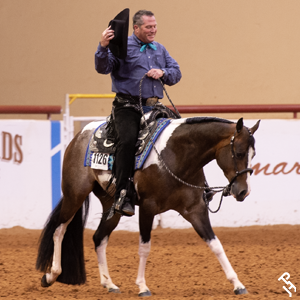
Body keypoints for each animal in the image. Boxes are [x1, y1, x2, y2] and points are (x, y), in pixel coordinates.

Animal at [35, 116, 260, 296]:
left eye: (254, 154)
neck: (176, 155)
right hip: (75, 195)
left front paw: (238, 284)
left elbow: (216, 245)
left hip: (111, 207)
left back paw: (109, 284)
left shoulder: (196, 210)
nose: (243, 191)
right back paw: (51, 275)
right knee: (59, 230)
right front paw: (143, 287)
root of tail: (79, 136)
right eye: (239, 153)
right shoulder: (147, 208)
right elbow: (144, 247)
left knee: (99, 238)